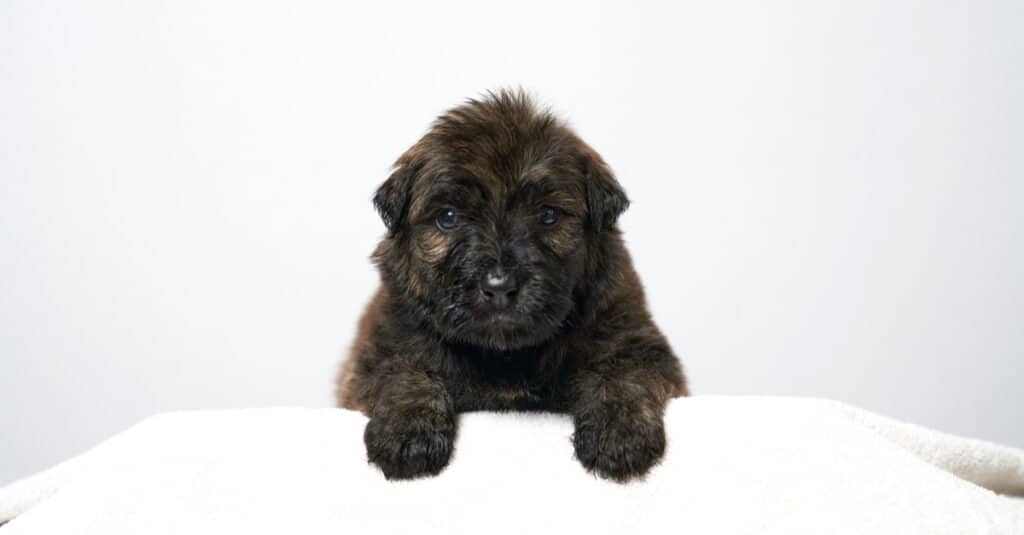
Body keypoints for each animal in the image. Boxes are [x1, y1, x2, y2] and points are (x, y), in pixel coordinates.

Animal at [337, 89, 688, 481]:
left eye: (548, 215)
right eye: (448, 217)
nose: (499, 286)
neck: (505, 354)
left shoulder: (637, 341)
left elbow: (621, 372)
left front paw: (619, 434)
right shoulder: (377, 350)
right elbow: (403, 372)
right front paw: (408, 432)